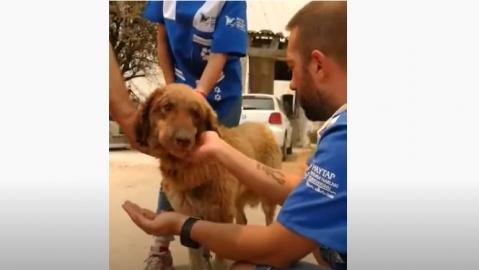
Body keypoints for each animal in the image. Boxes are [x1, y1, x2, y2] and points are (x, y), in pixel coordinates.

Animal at [136, 83, 282, 268]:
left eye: (196, 114)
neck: (188, 168)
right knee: (243, 221)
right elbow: (197, 261)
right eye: (167, 107)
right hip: (236, 202)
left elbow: (220, 260)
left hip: (267, 199)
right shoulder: (190, 221)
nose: (183, 140)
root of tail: (262, 126)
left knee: (269, 224)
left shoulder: (221, 219)